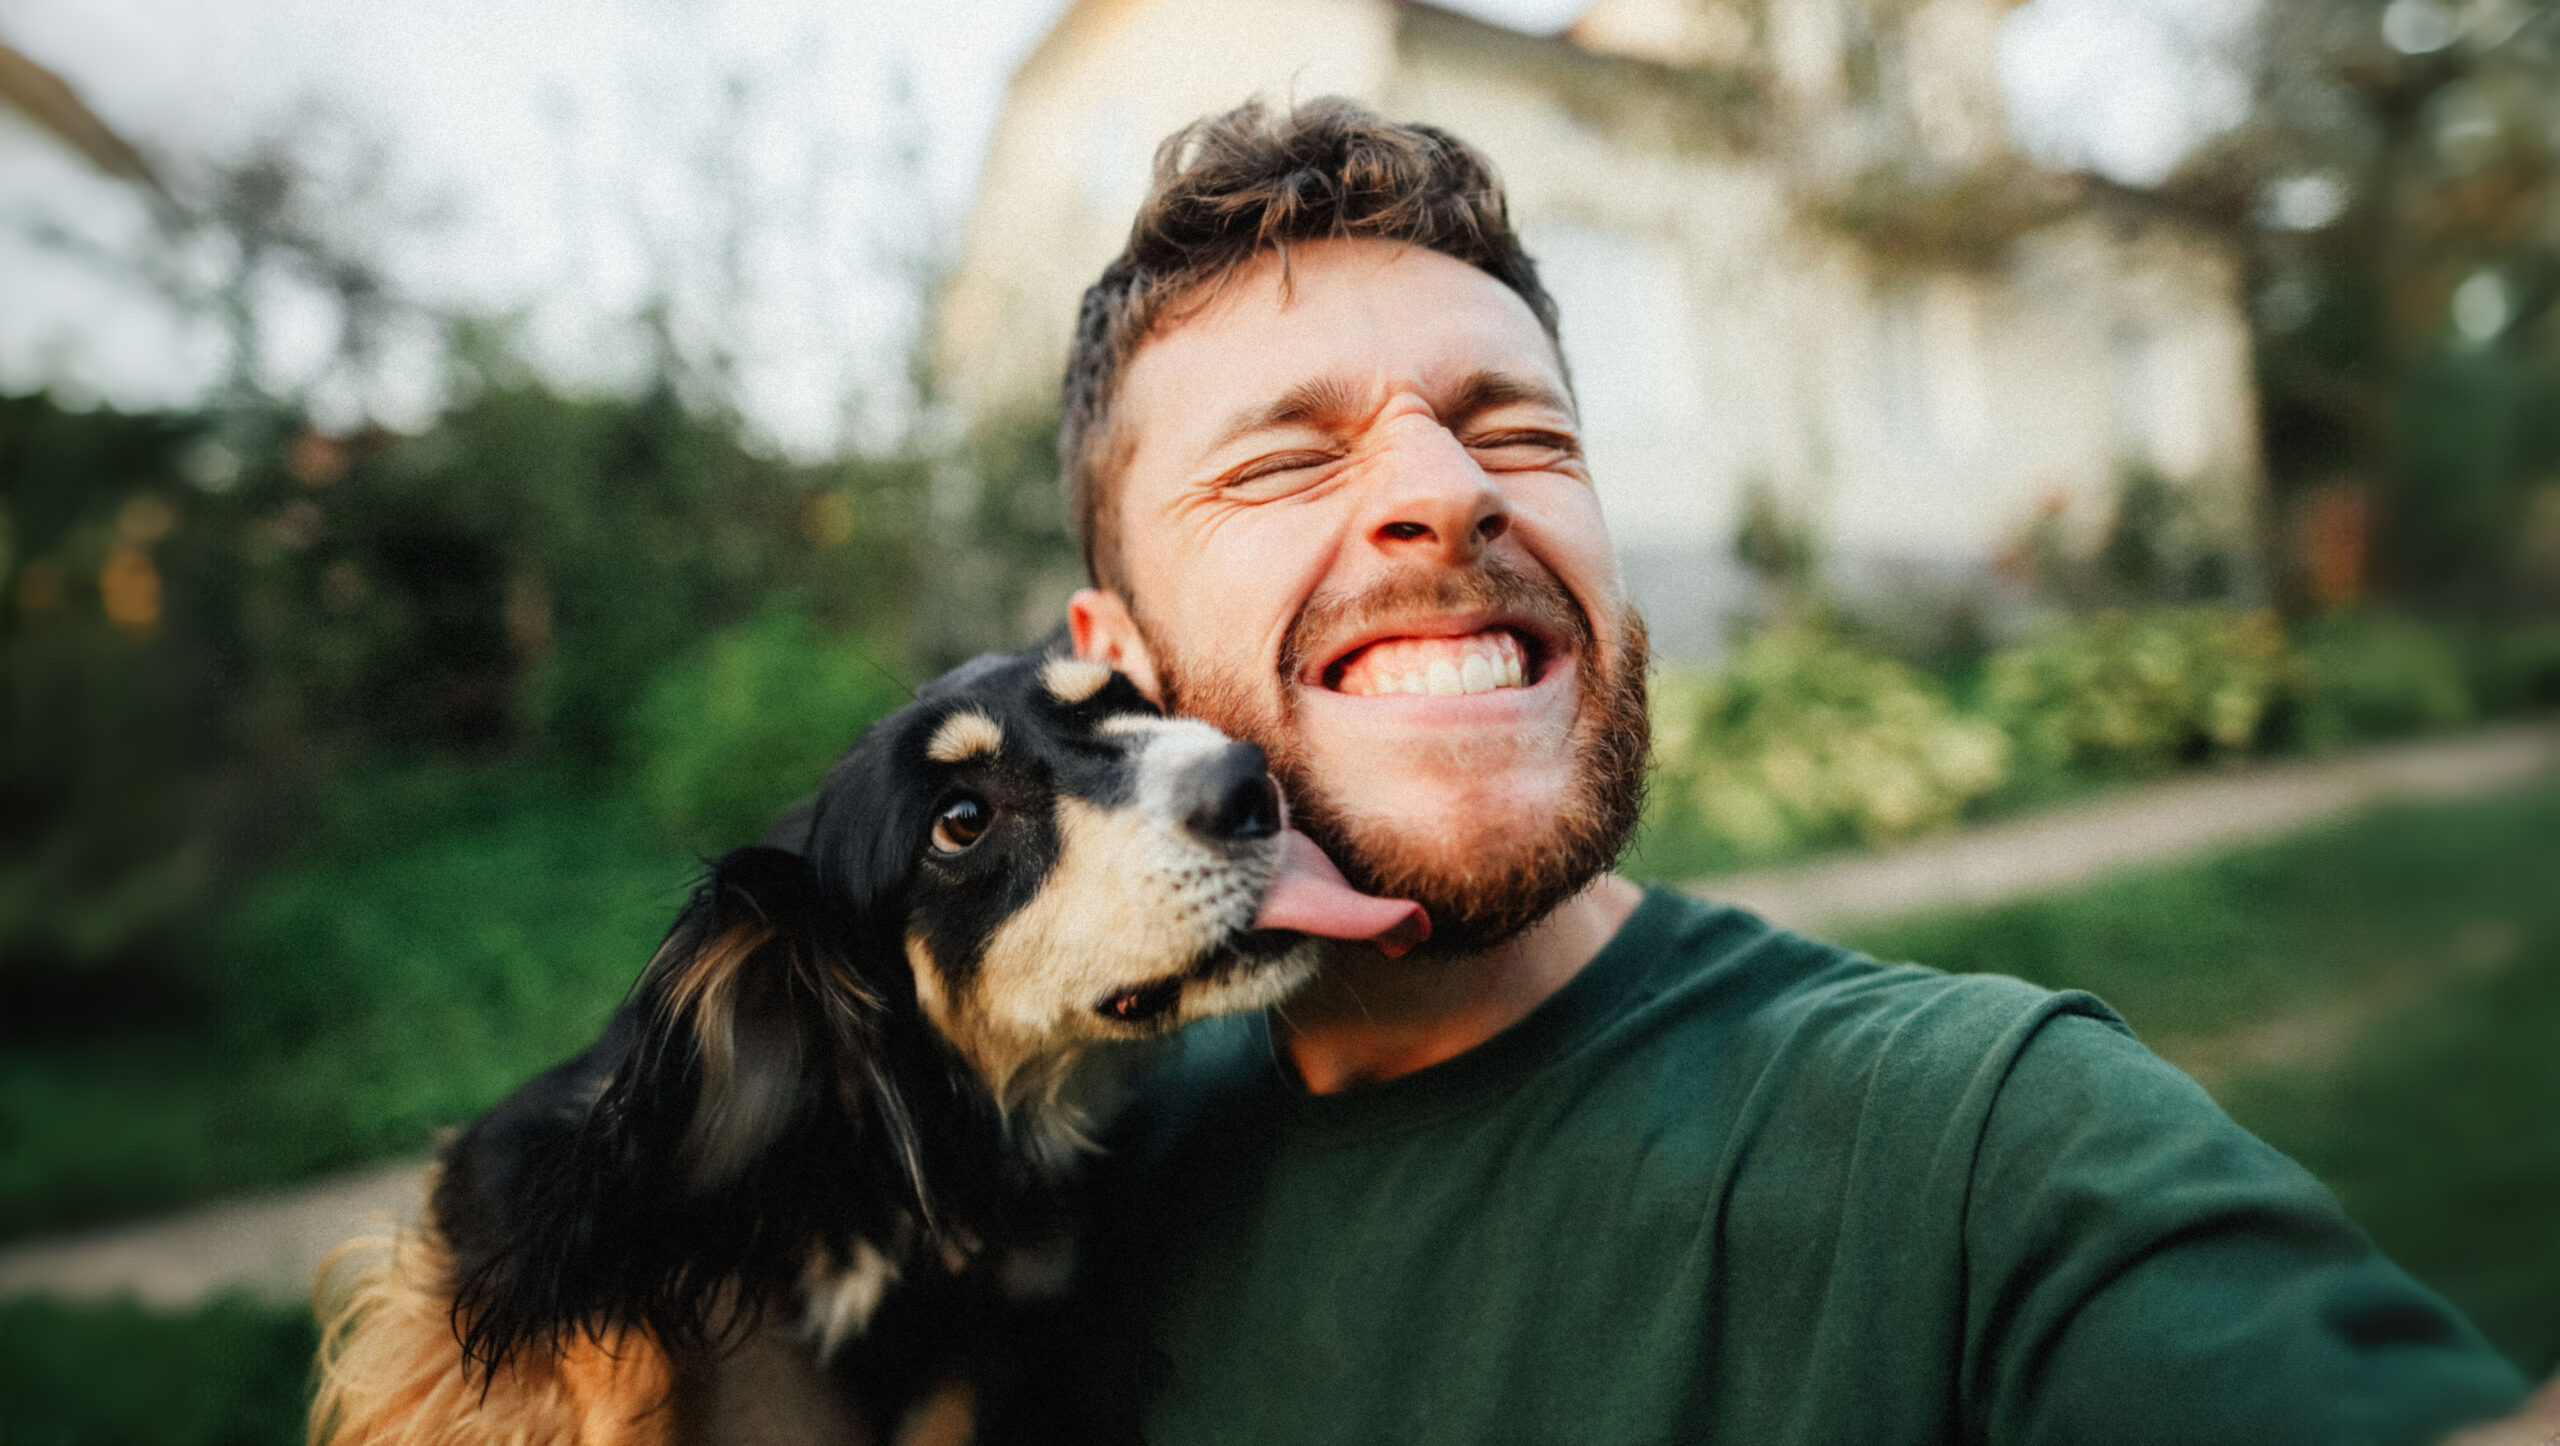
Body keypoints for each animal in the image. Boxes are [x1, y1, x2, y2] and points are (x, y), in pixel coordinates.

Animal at [312, 650, 1433, 1443]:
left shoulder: (985, 1348)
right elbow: (609, 1349)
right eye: (961, 820)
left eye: (1132, 701)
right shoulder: (513, 1168)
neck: (888, 1157)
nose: (1252, 782)